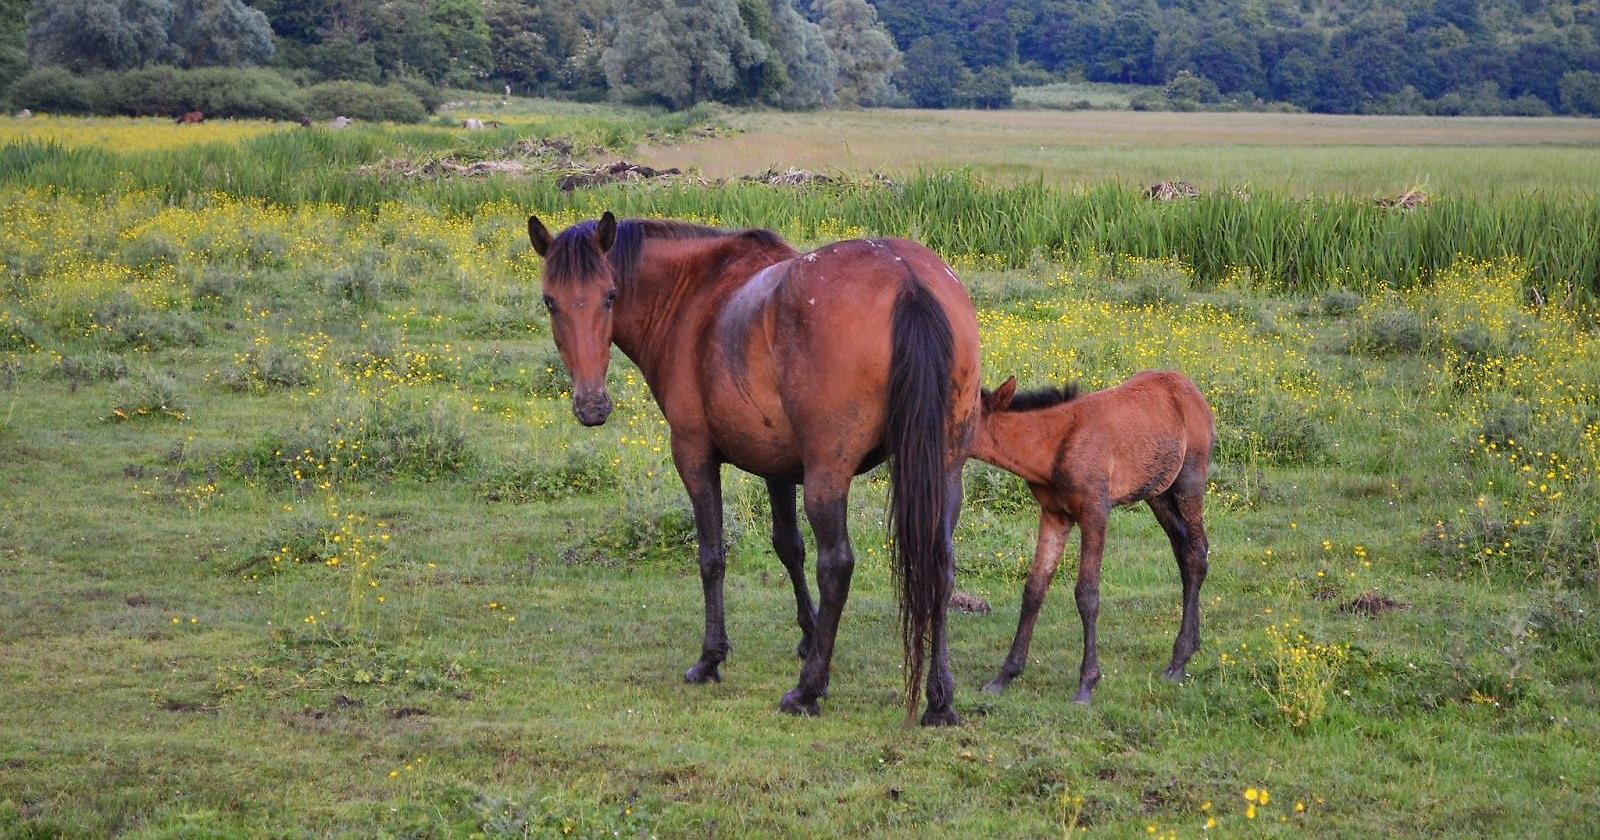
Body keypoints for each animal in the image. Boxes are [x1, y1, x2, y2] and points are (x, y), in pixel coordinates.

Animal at [528, 213, 981, 725]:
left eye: (609, 295)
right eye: (550, 301)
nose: (591, 405)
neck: (694, 294)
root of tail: (907, 280)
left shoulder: (694, 454)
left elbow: (712, 556)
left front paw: (711, 658)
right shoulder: (777, 466)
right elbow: (789, 547)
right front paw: (809, 634)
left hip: (828, 476)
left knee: (837, 566)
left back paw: (806, 691)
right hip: (945, 469)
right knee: (940, 563)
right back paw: (939, 700)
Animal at [969, 371, 1213, 704]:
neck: (1051, 450)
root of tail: (1194, 392)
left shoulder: (1096, 512)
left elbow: (1087, 593)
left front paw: (1087, 682)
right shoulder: (1054, 515)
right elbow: (1034, 589)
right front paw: (1004, 676)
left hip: (1189, 480)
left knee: (1196, 554)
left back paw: (1178, 660)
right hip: (1158, 493)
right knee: (1184, 549)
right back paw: (1191, 647)